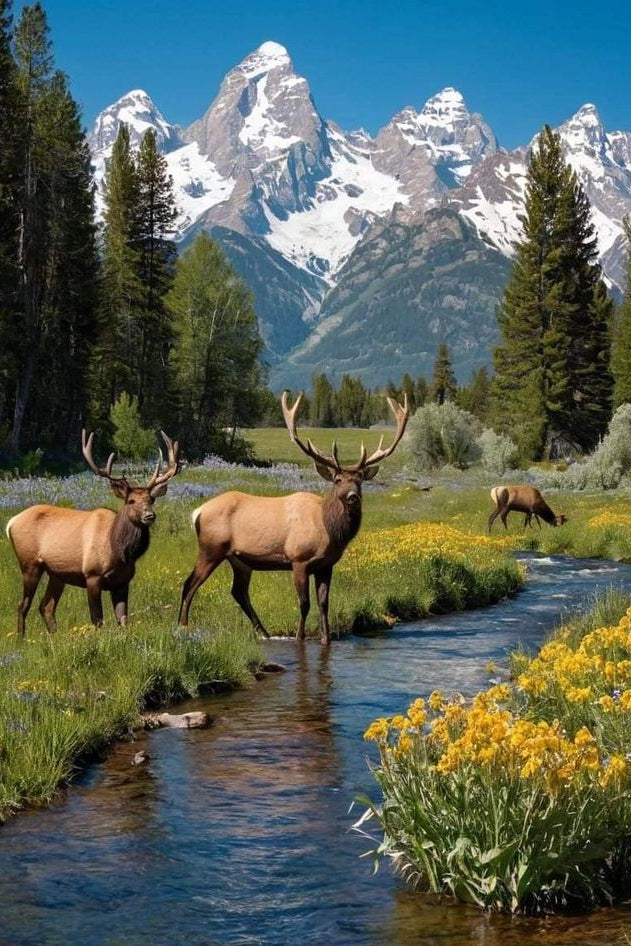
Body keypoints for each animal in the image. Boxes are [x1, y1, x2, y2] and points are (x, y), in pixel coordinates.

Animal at [5, 430, 180, 635]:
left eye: (151, 499)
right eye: (131, 501)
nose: (149, 515)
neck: (120, 552)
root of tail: (11, 523)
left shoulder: (122, 582)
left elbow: (123, 620)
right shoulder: (92, 575)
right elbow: (97, 619)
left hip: (56, 574)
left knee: (46, 606)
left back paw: (54, 636)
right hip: (29, 563)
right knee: (23, 605)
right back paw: (21, 638)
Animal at [178, 392, 409, 644]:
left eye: (359, 480)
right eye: (338, 480)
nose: (352, 497)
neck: (329, 531)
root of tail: (197, 512)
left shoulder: (326, 565)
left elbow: (324, 603)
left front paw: (326, 639)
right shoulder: (299, 560)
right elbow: (304, 603)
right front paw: (300, 637)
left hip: (239, 560)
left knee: (238, 592)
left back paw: (264, 632)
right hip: (211, 548)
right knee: (189, 584)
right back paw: (183, 627)